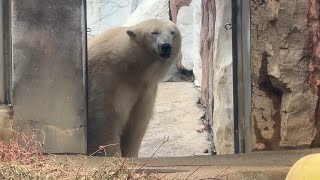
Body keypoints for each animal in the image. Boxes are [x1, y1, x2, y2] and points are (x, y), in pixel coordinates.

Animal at [87, 18, 182, 156]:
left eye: (172, 32)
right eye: (154, 32)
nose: (165, 46)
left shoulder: (145, 89)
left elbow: (137, 124)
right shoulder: (104, 79)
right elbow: (104, 121)